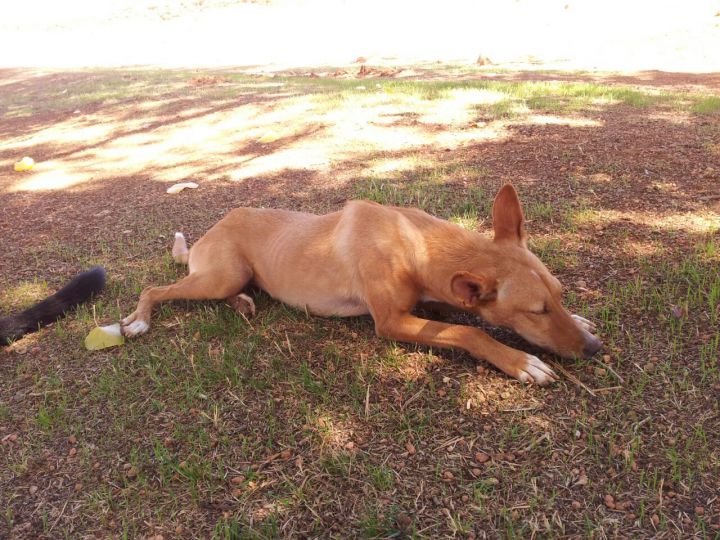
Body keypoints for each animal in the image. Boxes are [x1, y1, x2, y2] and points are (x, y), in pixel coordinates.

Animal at [124, 185, 600, 384]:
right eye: (536, 311)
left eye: (557, 296)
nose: (594, 350)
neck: (412, 243)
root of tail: (211, 231)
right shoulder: (390, 322)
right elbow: (471, 331)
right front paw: (521, 362)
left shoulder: (437, 297)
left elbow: (468, 316)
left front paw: (580, 319)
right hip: (220, 275)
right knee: (154, 290)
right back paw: (138, 320)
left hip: (227, 278)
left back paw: (243, 304)